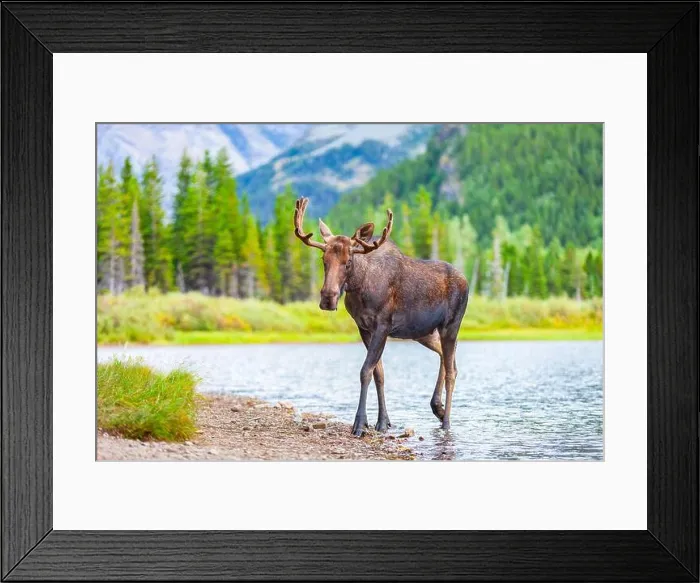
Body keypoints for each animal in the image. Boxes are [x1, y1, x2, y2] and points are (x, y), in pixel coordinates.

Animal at [293, 197, 469, 436]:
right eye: (323, 259)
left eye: (348, 262)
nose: (328, 298)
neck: (359, 288)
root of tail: (466, 281)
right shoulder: (363, 328)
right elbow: (379, 373)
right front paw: (382, 422)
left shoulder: (382, 326)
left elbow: (365, 371)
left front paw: (360, 423)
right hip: (424, 332)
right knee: (447, 358)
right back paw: (438, 408)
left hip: (451, 325)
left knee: (452, 371)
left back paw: (447, 421)